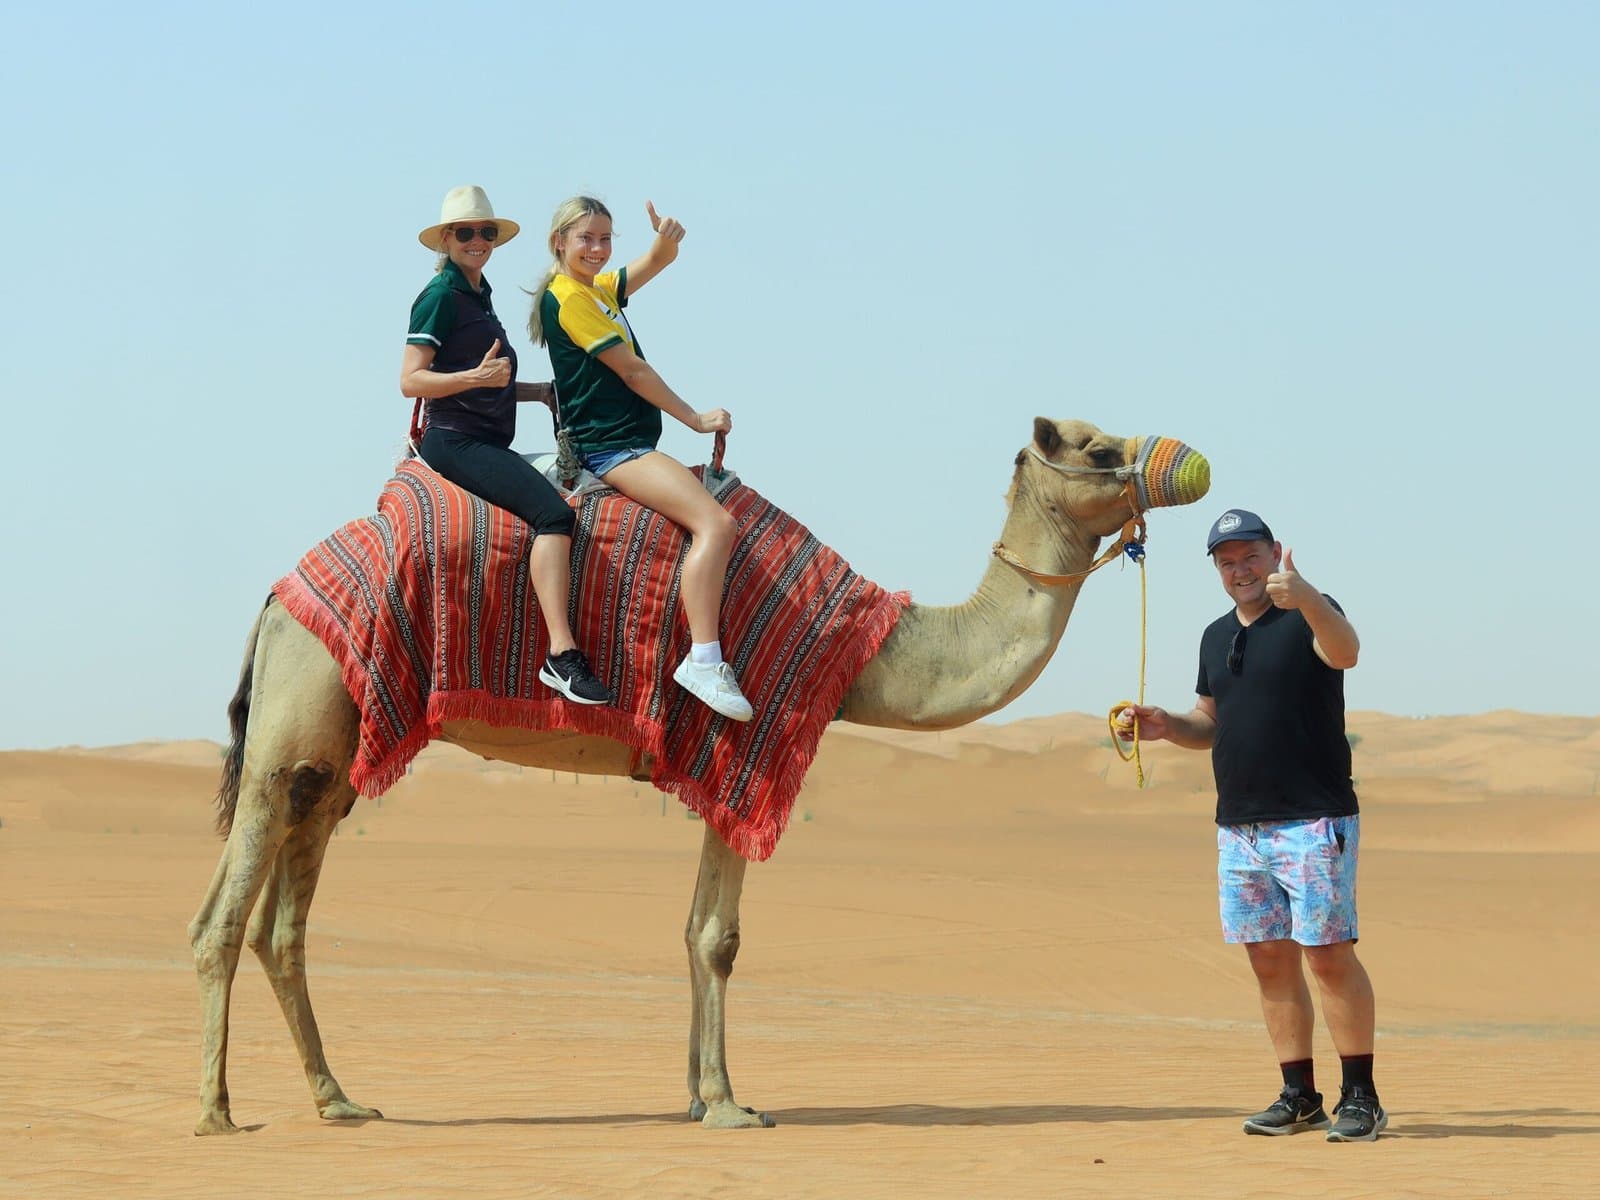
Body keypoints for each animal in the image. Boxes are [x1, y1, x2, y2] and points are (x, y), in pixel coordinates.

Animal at [188, 416, 1208, 1135]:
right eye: (1099, 446)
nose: (1189, 462)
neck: (867, 652)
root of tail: (275, 599)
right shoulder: (742, 747)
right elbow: (719, 938)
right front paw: (729, 1104)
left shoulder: (715, 770)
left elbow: (691, 931)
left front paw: (695, 1094)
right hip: (293, 725)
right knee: (223, 919)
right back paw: (216, 1113)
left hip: (332, 753)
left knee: (284, 920)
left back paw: (338, 1099)